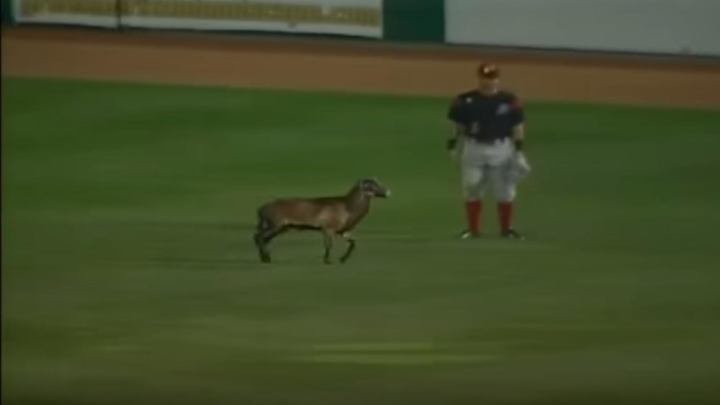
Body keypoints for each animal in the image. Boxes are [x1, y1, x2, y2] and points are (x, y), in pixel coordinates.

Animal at [253, 178, 390, 264]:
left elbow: (353, 244)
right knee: (259, 236)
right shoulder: (328, 227)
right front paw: (328, 261)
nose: (387, 192)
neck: (348, 209)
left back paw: (265, 257)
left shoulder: (343, 231)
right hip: (275, 224)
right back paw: (266, 258)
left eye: (378, 182)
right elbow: (329, 245)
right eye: (371, 185)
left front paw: (342, 260)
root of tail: (260, 209)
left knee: (261, 237)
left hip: (281, 227)